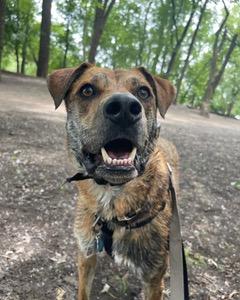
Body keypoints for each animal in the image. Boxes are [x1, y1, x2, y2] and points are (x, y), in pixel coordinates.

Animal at [47, 62, 178, 298]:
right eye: (87, 90)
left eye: (143, 92)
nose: (125, 108)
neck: (112, 196)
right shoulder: (86, 255)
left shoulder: (154, 279)